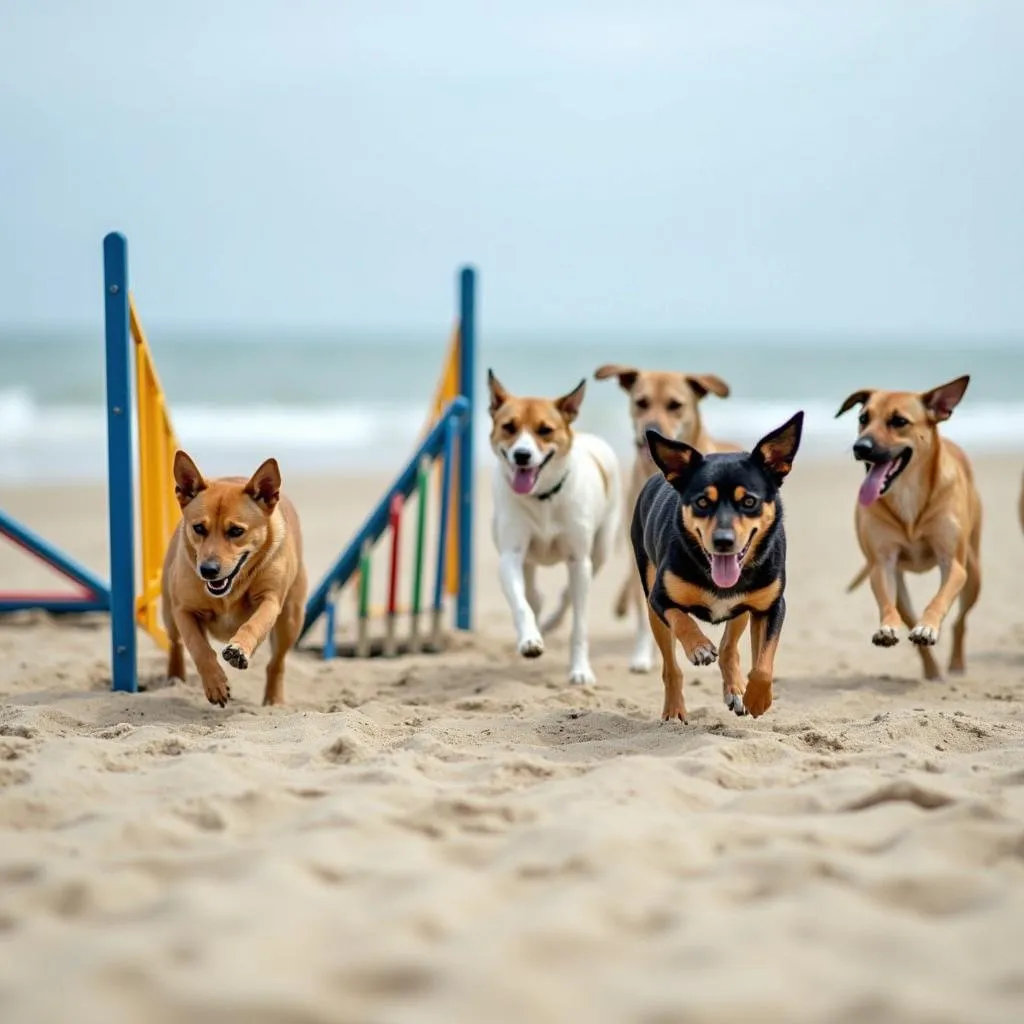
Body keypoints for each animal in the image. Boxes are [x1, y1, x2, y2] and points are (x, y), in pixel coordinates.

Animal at [161, 452, 307, 708]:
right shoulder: (183, 610)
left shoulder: (270, 600)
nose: (208, 570)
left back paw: (274, 699)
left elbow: (253, 624)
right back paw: (175, 678)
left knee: (276, 663)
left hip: (290, 620)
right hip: (168, 613)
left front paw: (239, 648)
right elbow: (198, 648)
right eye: (199, 528)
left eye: (236, 531)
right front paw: (215, 684)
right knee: (176, 643)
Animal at [489, 372, 622, 684]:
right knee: (534, 595)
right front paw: (529, 640)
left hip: (600, 549)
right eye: (509, 427)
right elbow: (521, 603)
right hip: (522, 555)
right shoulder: (510, 555)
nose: (522, 455)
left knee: (568, 595)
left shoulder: (578, 559)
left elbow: (580, 624)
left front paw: (581, 670)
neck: (542, 498)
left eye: (545, 430)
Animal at [626, 409, 802, 720]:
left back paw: (736, 689)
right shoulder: (660, 598)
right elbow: (682, 620)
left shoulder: (770, 607)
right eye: (702, 502)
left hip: (742, 609)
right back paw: (674, 708)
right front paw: (698, 647)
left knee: (730, 648)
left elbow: (763, 662)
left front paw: (757, 697)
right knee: (671, 667)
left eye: (749, 501)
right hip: (651, 605)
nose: (723, 541)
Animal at [839, 376, 983, 679]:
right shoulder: (882, 564)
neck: (908, 493)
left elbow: (938, 600)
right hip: (900, 584)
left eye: (899, 421)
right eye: (863, 418)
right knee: (906, 613)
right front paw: (886, 627)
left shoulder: (953, 564)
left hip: (974, 574)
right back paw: (932, 670)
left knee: (960, 621)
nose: (861, 447)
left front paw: (928, 626)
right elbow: (886, 602)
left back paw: (955, 664)